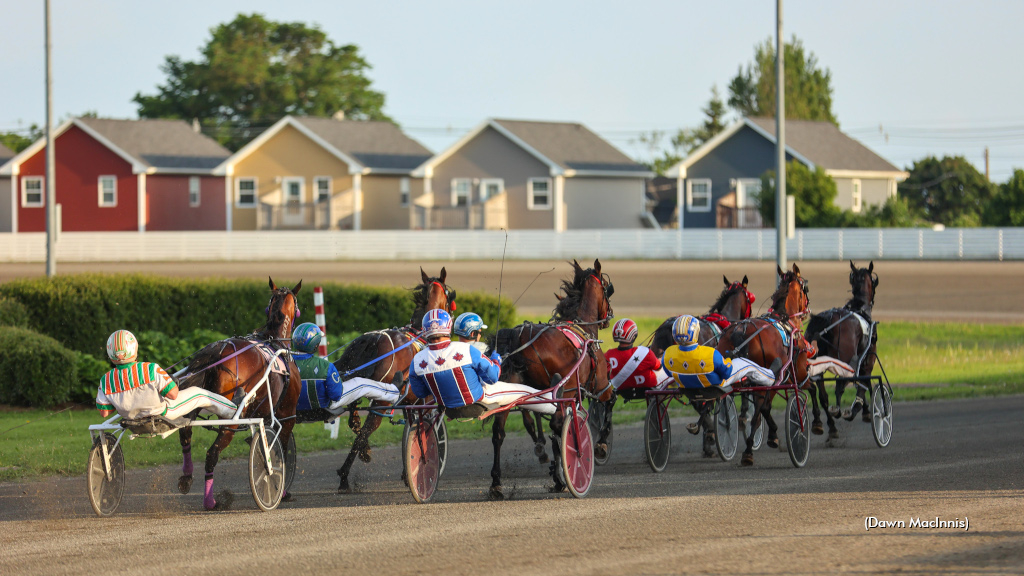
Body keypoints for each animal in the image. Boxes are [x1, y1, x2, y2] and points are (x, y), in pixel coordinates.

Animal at [176, 276, 301, 506]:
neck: (274, 341)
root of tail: (217, 352)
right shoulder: (288, 414)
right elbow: (279, 450)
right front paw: (280, 488)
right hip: (231, 418)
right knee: (212, 453)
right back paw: (211, 502)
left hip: (197, 399)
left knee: (185, 432)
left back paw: (187, 477)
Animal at [331, 266, 456, 491]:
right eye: (450, 295)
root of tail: (372, 339)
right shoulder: (424, 401)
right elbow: (420, 433)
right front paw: (414, 471)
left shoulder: (410, 402)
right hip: (382, 400)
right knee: (366, 429)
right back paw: (346, 472)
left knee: (354, 421)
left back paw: (362, 451)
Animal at [491, 260, 610, 498]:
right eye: (607, 288)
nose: (609, 315)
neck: (582, 327)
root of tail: (519, 335)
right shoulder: (599, 387)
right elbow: (609, 401)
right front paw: (600, 446)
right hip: (563, 389)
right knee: (557, 424)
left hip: (514, 389)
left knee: (499, 432)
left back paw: (497, 483)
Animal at [716, 264, 811, 467]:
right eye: (805, 288)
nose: (807, 309)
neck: (784, 319)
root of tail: (741, 330)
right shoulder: (794, 373)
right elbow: (806, 389)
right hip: (768, 378)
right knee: (763, 408)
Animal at [802, 258, 876, 436]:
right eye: (874, 280)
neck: (859, 309)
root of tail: (826, 320)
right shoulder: (868, 358)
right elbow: (864, 381)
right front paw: (863, 410)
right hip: (844, 358)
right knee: (839, 385)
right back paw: (836, 411)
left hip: (816, 361)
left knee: (820, 393)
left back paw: (824, 424)